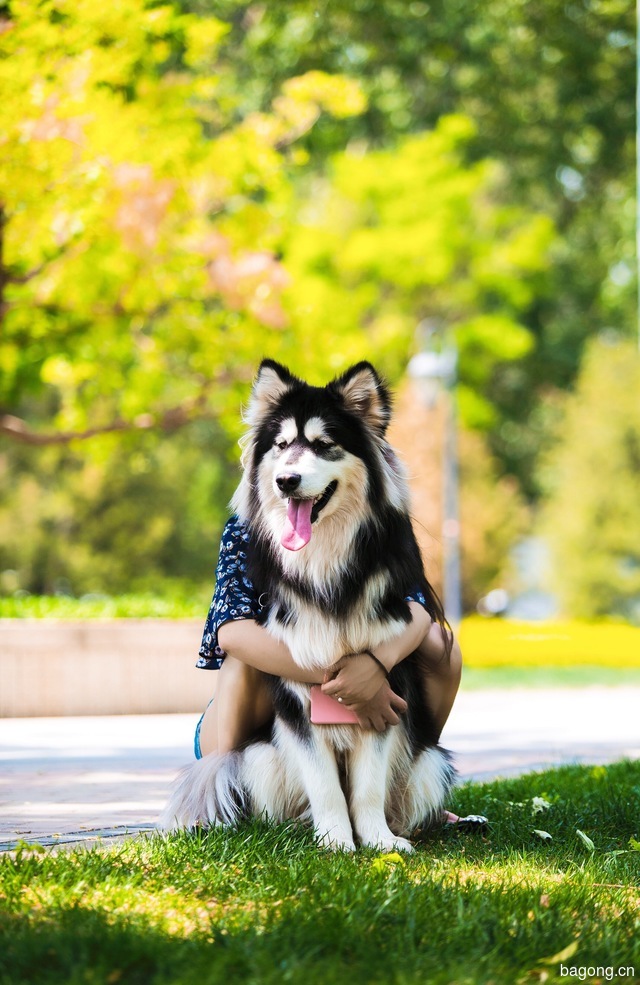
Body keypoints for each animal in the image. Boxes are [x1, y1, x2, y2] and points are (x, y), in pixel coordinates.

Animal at [162, 358, 458, 848]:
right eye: (282, 446)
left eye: (323, 445)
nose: (286, 481)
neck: (324, 560)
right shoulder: (297, 698)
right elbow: (325, 787)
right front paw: (336, 842)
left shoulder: (385, 689)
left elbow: (368, 786)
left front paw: (377, 841)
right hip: (259, 757)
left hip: (429, 763)